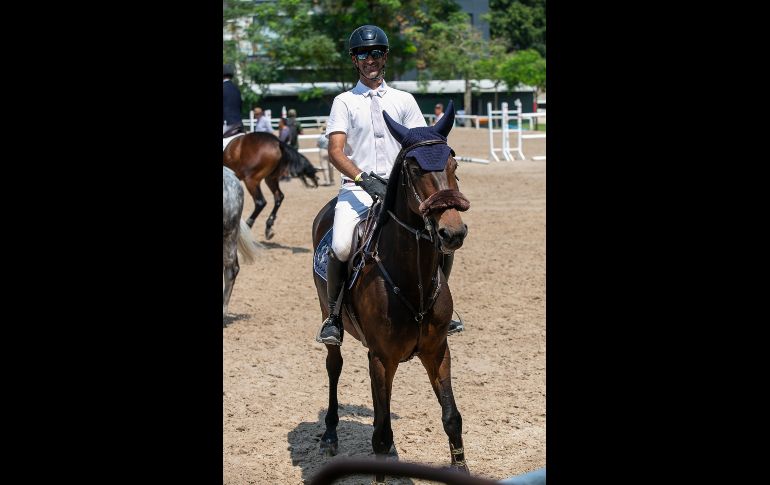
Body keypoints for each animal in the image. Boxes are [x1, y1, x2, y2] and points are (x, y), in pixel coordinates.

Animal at [310, 101, 468, 480]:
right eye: (414, 169)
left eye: (454, 164)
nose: (453, 233)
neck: (412, 278)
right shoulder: (382, 358)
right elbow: (381, 434)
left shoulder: (437, 351)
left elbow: (451, 418)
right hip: (328, 312)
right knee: (334, 367)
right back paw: (330, 434)